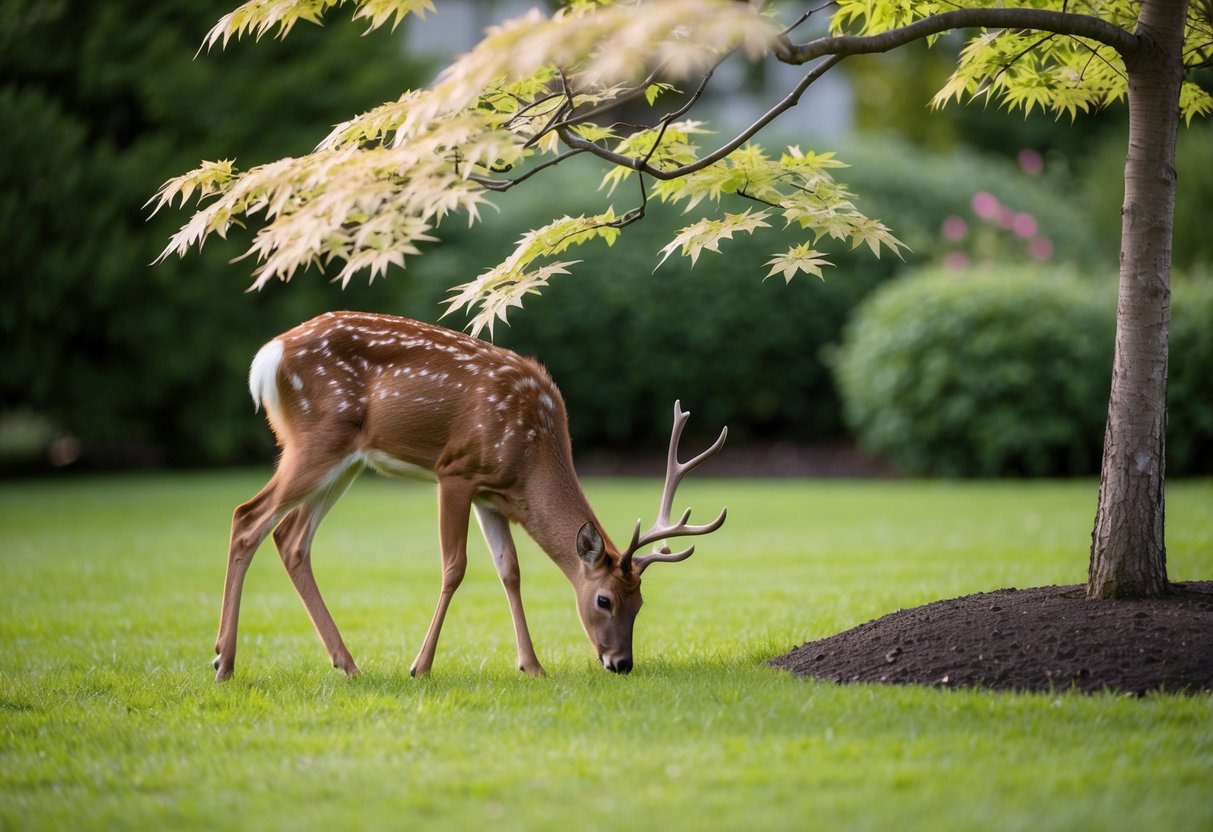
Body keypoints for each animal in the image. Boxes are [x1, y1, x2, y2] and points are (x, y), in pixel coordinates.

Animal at [213, 309, 722, 679]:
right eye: (604, 600)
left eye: (640, 603)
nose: (621, 664)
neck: (531, 455)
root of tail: (268, 357)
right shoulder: (455, 472)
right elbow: (455, 568)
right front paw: (420, 666)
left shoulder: (491, 496)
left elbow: (510, 571)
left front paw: (532, 665)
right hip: (315, 441)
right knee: (247, 516)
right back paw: (224, 662)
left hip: (345, 463)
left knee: (291, 539)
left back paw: (347, 664)